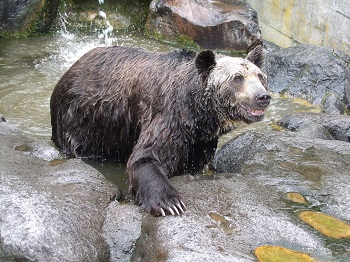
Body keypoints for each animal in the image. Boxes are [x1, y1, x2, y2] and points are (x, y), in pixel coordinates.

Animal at [50, 45, 270, 217]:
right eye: (237, 78)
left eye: (260, 76)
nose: (262, 97)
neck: (198, 113)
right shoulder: (169, 117)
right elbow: (147, 157)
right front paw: (170, 203)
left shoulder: (200, 141)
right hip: (83, 120)